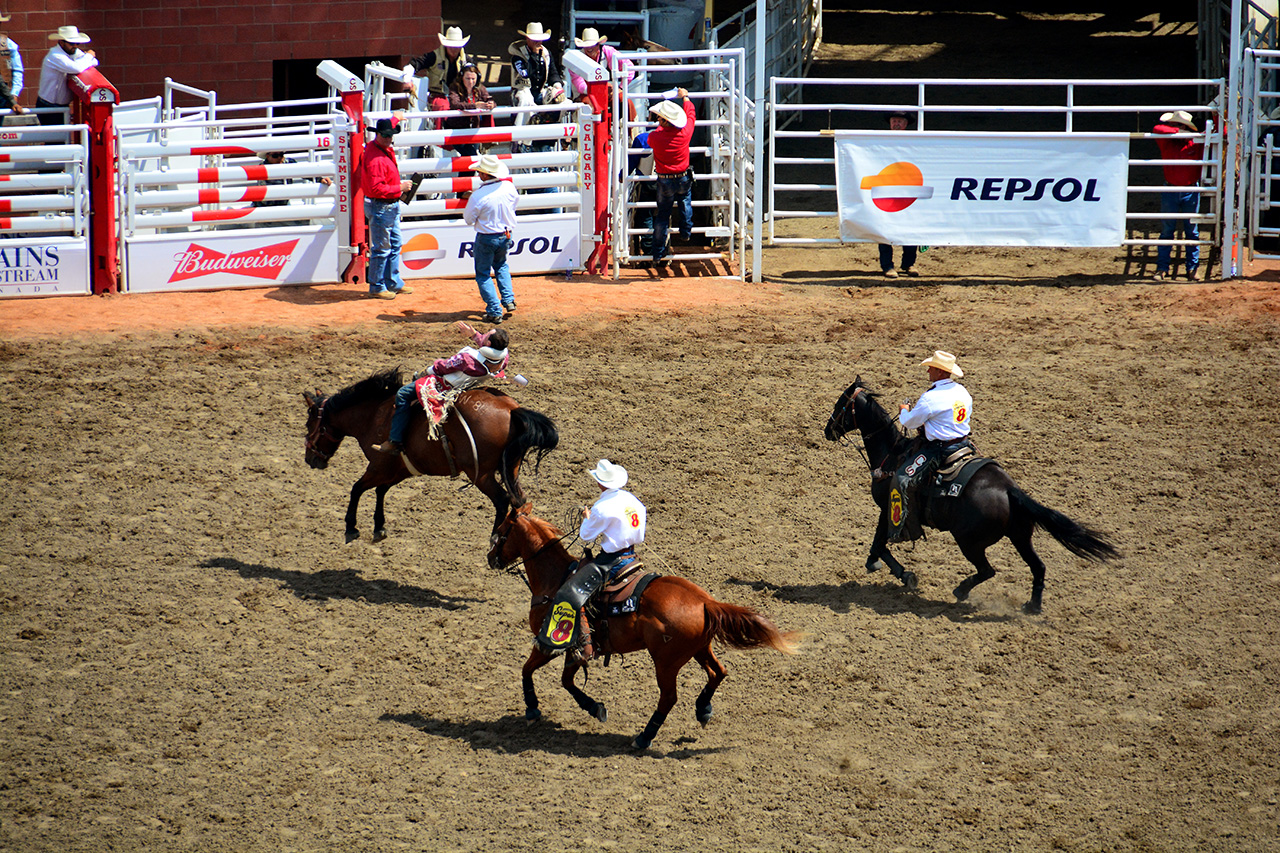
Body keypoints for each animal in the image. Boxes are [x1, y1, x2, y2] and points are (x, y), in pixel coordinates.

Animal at [824, 376, 1116, 612]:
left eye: (840, 405)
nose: (827, 430)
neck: (892, 452)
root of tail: (1009, 490)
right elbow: (879, 541)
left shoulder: (888, 509)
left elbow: (879, 542)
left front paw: (896, 571)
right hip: (1020, 536)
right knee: (1039, 566)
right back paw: (1032, 606)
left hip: (969, 542)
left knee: (988, 570)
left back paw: (961, 590)